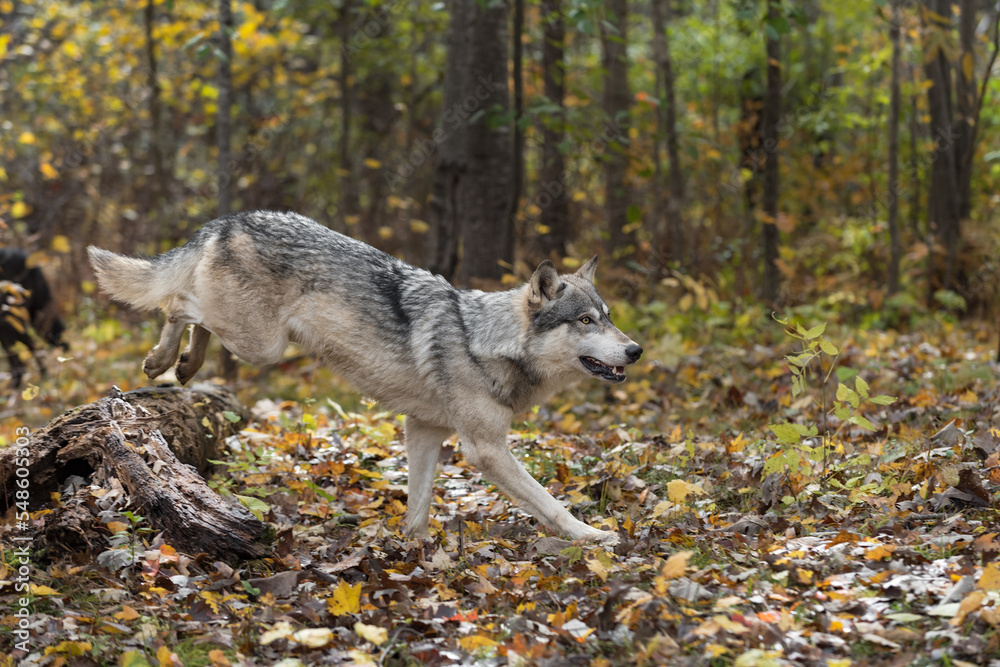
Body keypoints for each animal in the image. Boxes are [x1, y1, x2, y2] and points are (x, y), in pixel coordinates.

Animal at [88, 211, 642, 544]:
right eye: (585, 321)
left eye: (608, 317)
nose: (635, 350)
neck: (484, 341)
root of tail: (228, 219)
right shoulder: (484, 450)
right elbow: (549, 502)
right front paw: (593, 537)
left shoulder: (424, 432)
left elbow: (419, 502)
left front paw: (416, 549)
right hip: (260, 345)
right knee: (177, 304)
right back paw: (162, 361)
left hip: (254, 342)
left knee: (189, 316)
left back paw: (183, 366)